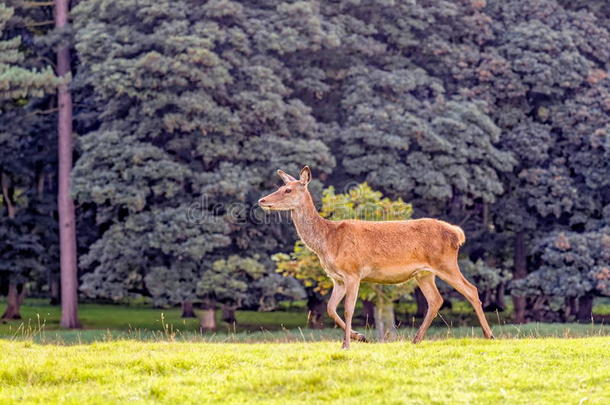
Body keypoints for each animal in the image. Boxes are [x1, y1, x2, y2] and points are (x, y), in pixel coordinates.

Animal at [258, 166, 494, 348]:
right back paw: (416, 339)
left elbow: (348, 309)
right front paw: (360, 337)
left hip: (445, 263)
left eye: (287, 189)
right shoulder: (337, 278)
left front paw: (347, 344)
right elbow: (330, 309)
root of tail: (457, 233)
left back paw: (489, 334)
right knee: (436, 299)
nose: (262, 200)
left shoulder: (353, 272)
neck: (327, 242)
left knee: (471, 290)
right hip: (424, 273)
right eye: (279, 187)